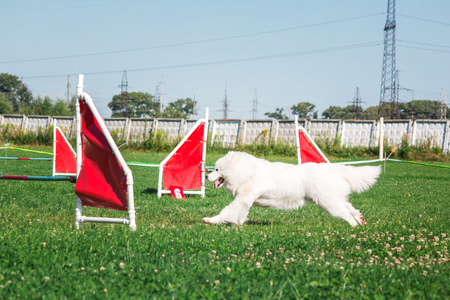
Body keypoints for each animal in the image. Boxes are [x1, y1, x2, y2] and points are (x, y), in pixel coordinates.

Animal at [204, 154, 380, 226]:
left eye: (217, 169)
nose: (206, 176)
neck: (246, 171)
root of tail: (335, 170)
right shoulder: (245, 201)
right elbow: (237, 213)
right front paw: (237, 224)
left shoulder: (243, 199)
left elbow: (227, 211)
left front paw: (210, 220)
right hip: (334, 200)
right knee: (351, 209)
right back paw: (361, 221)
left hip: (328, 203)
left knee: (346, 214)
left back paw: (354, 227)